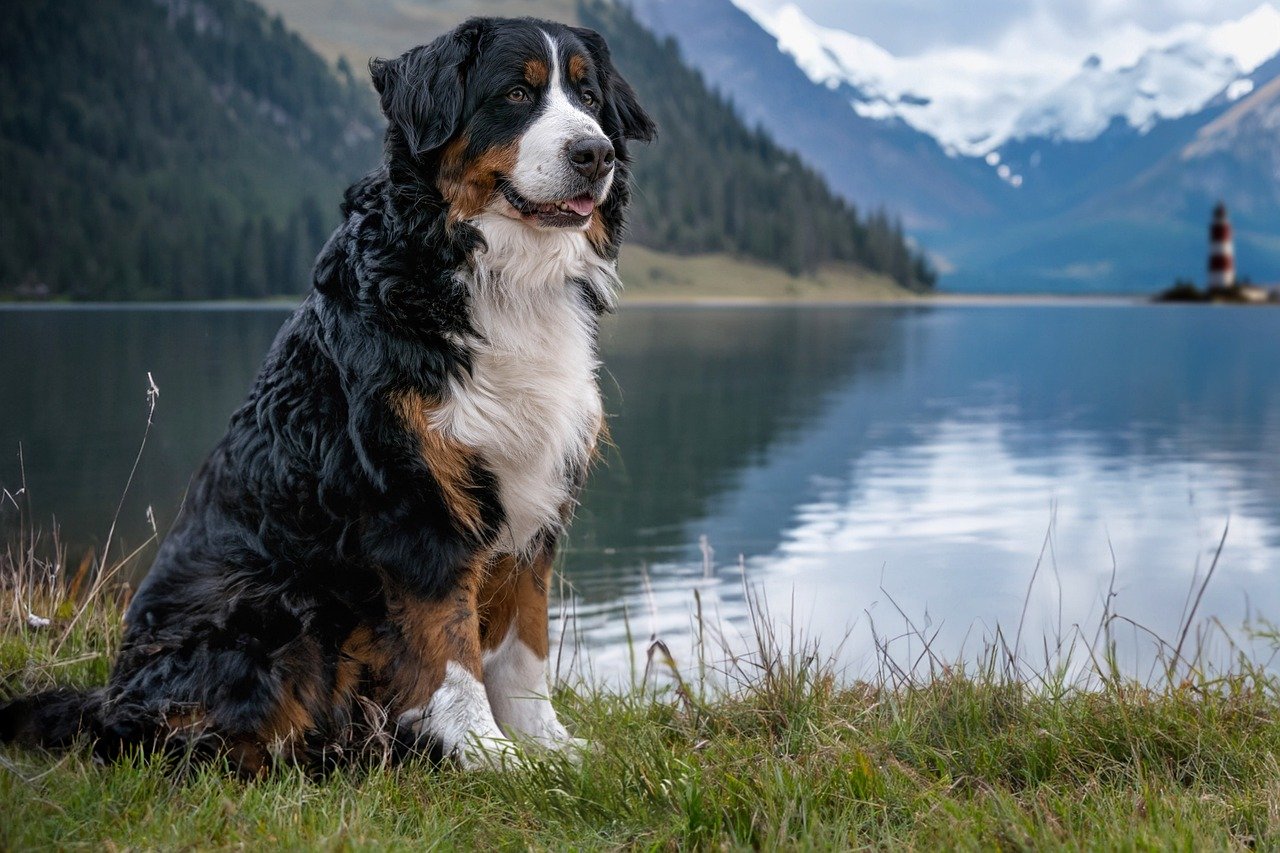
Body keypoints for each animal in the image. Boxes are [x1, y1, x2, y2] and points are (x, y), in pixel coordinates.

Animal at [0, 14, 655, 768]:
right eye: (517, 94)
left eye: (588, 96)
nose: (594, 153)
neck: (497, 277)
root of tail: (110, 699)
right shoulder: (416, 503)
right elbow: (450, 649)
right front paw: (486, 752)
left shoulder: (536, 500)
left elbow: (525, 648)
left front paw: (549, 746)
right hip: (273, 607)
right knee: (189, 742)